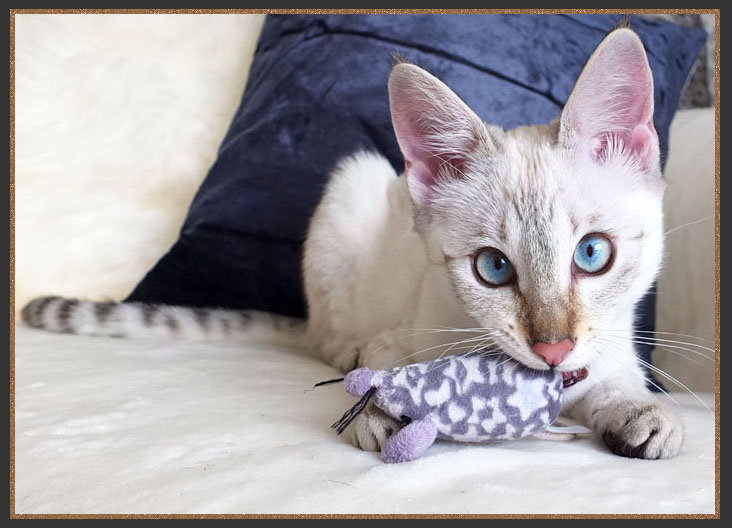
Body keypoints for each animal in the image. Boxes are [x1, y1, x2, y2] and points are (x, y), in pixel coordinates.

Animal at [24, 26, 688, 460]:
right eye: (494, 268)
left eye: (592, 254)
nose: (553, 348)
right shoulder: (398, 338)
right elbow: (382, 372)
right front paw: (380, 410)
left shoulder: (611, 354)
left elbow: (615, 383)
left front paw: (643, 414)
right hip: (354, 180)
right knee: (329, 340)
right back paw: (342, 351)